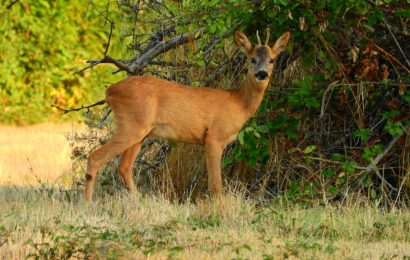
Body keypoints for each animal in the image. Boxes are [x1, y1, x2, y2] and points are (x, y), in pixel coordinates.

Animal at [83, 29, 290, 201]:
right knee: (95, 158)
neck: (238, 103)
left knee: (124, 167)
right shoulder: (213, 137)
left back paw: (138, 201)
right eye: (252, 59)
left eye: (272, 60)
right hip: (131, 125)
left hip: (140, 132)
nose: (262, 74)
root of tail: (110, 91)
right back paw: (88, 205)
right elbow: (216, 185)